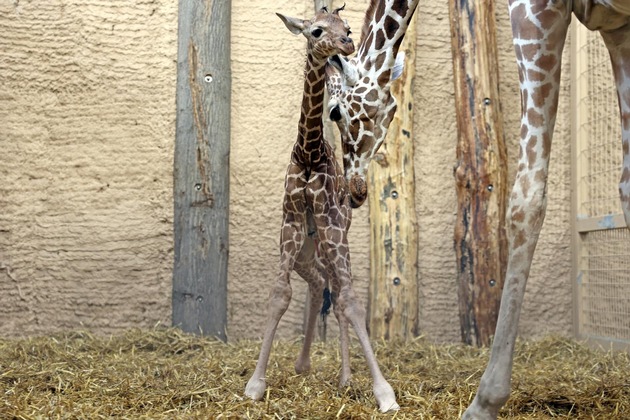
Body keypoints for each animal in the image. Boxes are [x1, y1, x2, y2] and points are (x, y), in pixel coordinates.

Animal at [244, 5, 402, 414]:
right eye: (315, 30)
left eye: (347, 27)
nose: (345, 45)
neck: (309, 153)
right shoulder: (291, 223)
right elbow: (280, 294)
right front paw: (255, 384)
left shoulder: (330, 225)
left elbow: (351, 301)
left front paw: (384, 393)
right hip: (308, 248)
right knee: (319, 283)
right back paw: (304, 364)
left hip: (335, 238)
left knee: (340, 292)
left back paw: (346, 378)